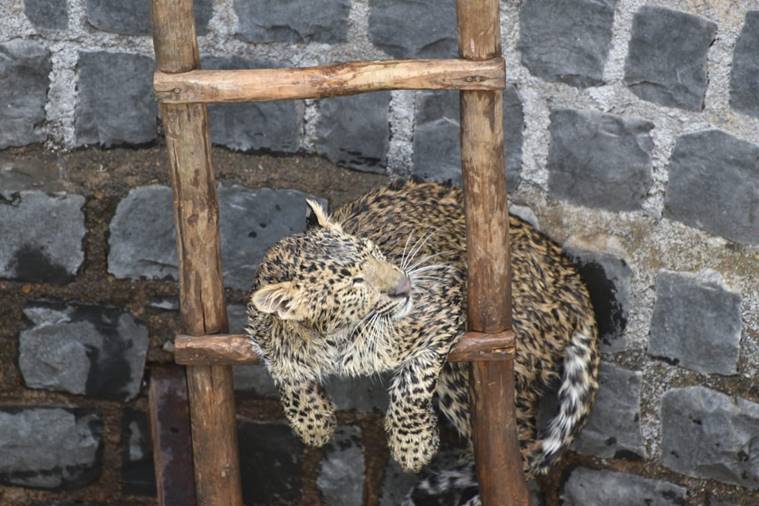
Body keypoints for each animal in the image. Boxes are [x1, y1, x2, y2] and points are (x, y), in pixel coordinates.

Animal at [245, 180, 600, 498]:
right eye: (355, 284)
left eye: (373, 251)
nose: (405, 286)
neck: (332, 336)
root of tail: (577, 286)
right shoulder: (262, 329)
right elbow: (282, 367)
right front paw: (313, 422)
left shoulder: (443, 303)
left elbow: (413, 383)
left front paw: (413, 446)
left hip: (476, 369)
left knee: (524, 451)